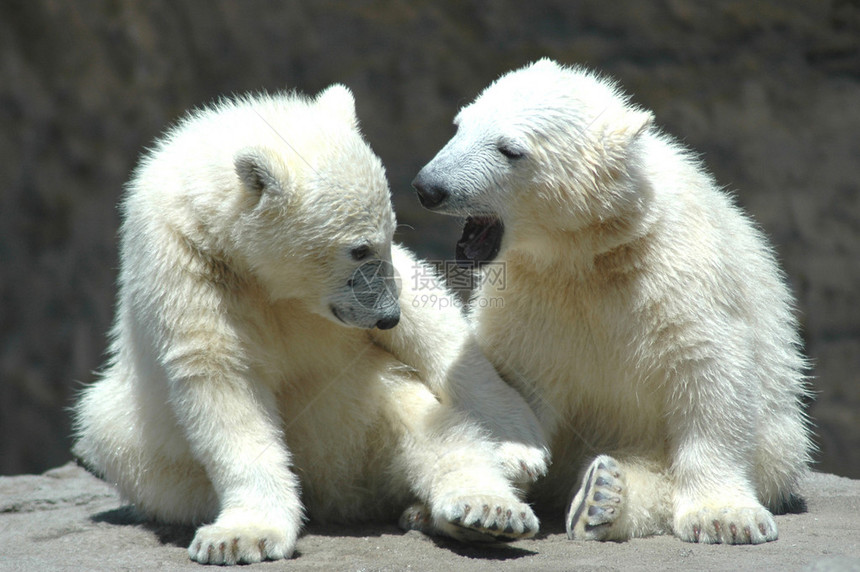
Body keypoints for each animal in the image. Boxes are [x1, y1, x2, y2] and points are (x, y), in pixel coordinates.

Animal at [70, 82, 548, 564]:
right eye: (358, 248)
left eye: (388, 236)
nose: (386, 316)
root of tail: (341, 492)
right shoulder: (189, 272)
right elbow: (223, 383)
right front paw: (240, 537)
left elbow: (433, 323)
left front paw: (521, 446)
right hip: (136, 436)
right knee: (109, 430)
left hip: (372, 404)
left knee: (431, 425)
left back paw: (483, 511)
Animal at [414, 59, 816, 544]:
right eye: (459, 127)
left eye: (510, 149)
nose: (428, 187)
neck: (592, 251)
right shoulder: (531, 295)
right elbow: (515, 375)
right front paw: (509, 464)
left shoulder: (681, 274)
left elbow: (709, 369)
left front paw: (725, 517)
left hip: (778, 437)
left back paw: (603, 496)